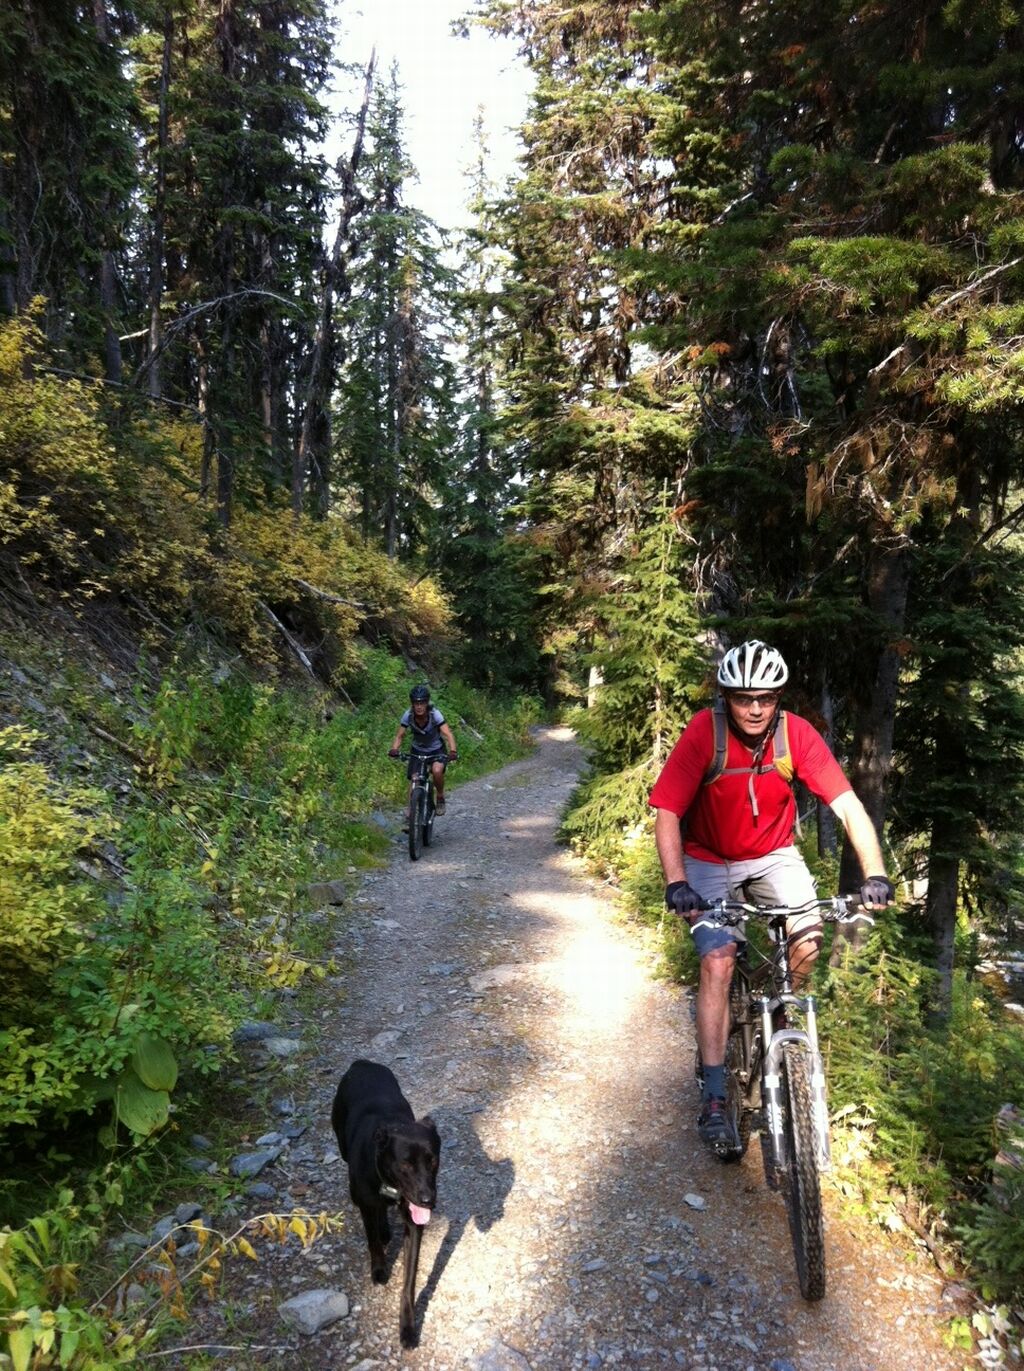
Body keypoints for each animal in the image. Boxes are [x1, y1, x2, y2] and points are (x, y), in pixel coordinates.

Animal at [331, 1059, 440, 1348]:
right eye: (406, 1164)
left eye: (433, 1160)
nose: (428, 1200)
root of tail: (362, 1063)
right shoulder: (367, 1205)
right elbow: (372, 1241)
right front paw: (379, 1268)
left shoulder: (413, 1223)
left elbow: (409, 1282)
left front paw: (408, 1327)